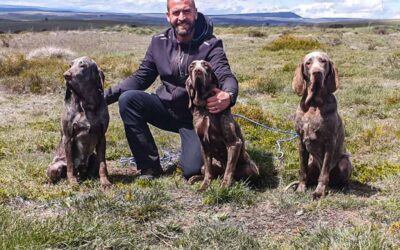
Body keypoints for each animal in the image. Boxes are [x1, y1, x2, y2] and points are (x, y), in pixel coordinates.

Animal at [47, 56, 111, 188]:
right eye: (70, 65)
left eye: (83, 66)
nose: (66, 75)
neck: (86, 104)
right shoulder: (68, 137)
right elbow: (71, 165)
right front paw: (72, 181)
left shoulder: (102, 137)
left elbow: (103, 164)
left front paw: (105, 181)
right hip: (54, 167)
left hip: (93, 158)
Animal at [185, 59, 260, 190]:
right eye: (191, 66)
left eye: (206, 65)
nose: (198, 71)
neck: (205, 108)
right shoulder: (204, 145)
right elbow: (208, 171)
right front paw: (204, 185)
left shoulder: (234, 143)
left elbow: (229, 169)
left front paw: (225, 186)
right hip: (205, 166)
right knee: (210, 172)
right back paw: (195, 178)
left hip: (251, 168)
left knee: (237, 176)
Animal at [292, 51, 352, 200]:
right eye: (308, 63)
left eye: (323, 61)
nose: (317, 72)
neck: (314, 105)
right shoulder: (301, 141)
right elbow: (302, 170)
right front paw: (301, 188)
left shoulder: (329, 142)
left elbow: (324, 173)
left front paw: (319, 192)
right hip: (311, 163)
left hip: (344, 162)